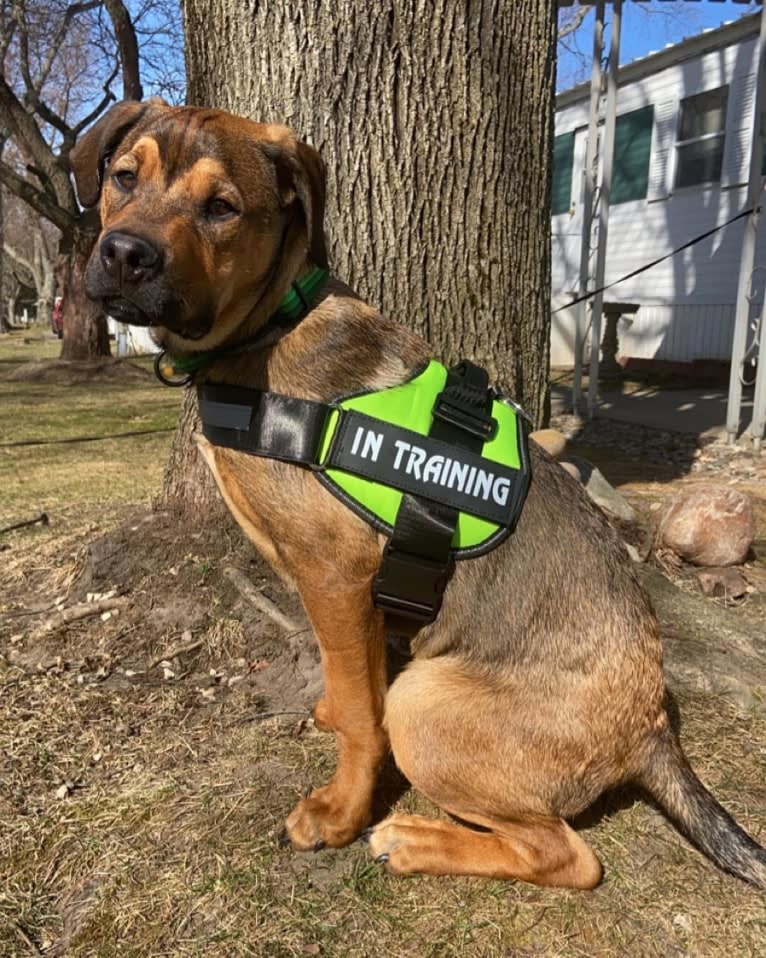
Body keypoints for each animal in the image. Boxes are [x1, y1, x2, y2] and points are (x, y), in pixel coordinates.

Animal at [69, 101, 764, 888]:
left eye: (223, 209)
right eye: (125, 177)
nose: (126, 255)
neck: (270, 325)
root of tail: (651, 730)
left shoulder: (338, 577)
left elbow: (363, 718)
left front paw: (338, 812)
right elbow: (352, 689)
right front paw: (331, 712)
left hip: (425, 700)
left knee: (569, 857)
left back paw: (411, 838)